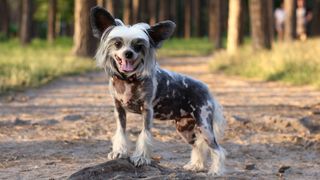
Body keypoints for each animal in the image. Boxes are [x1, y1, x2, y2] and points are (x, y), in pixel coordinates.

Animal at [89, 6, 225, 175]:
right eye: (118, 43)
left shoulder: (147, 110)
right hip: (185, 129)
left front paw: (140, 158)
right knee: (197, 146)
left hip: (204, 126)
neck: (128, 80)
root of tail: (207, 90)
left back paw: (216, 171)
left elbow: (145, 135)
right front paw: (119, 152)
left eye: (139, 46)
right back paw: (196, 165)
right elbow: (121, 131)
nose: (128, 53)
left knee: (217, 149)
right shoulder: (119, 109)